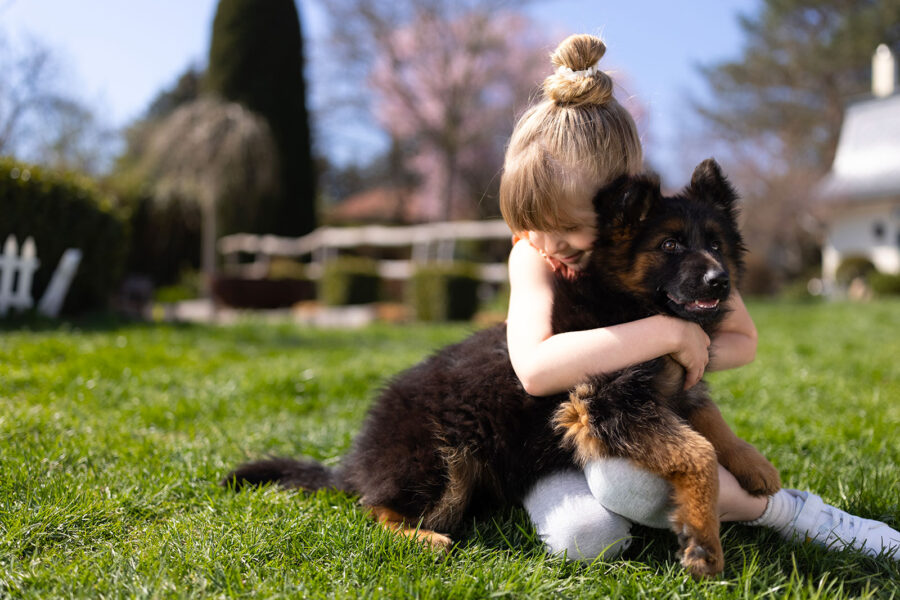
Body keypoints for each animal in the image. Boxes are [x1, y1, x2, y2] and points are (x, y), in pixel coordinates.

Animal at [225, 158, 780, 576]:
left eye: (714, 244)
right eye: (669, 245)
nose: (720, 281)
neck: (628, 306)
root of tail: (358, 464)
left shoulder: (674, 389)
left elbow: (709, 421)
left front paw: (753, 464)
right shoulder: (604, 403)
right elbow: (697, 452)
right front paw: (705, 543)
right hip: (444, 459)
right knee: (373, 510)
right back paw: (420, 538)